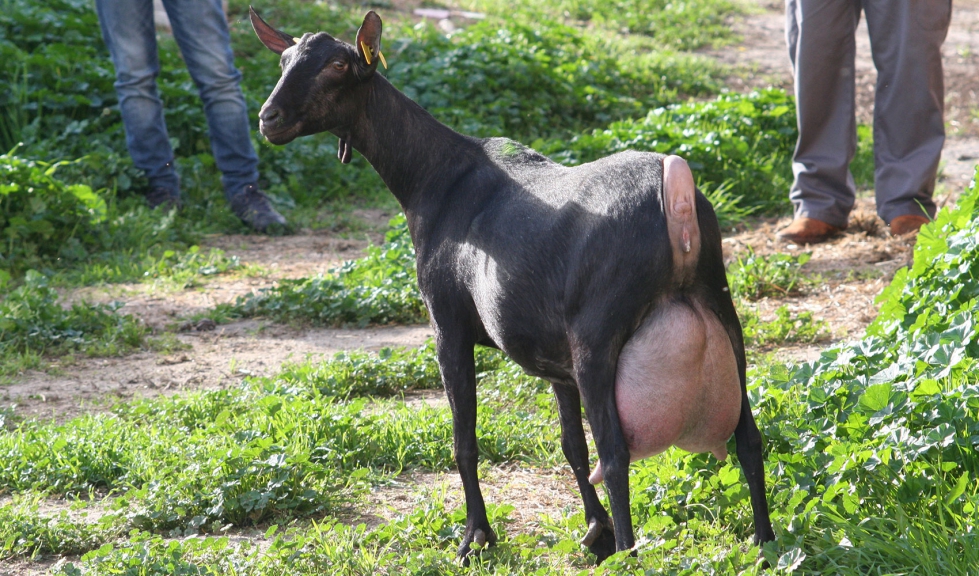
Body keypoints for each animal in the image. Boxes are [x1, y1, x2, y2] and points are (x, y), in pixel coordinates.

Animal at [250, 8, 775, 563]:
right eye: (284, 59)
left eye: (336, 65)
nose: (269, 118)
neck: (433, 178)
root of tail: (674, 193)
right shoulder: (554, 359)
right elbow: (570, 444)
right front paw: (595, 530)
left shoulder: (449, 325)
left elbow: (465, 440)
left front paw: (475, 537)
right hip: (722, 313)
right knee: (747, 438)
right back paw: (765, 544)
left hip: (598, 336)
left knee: (616, 454)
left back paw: (631, 554)